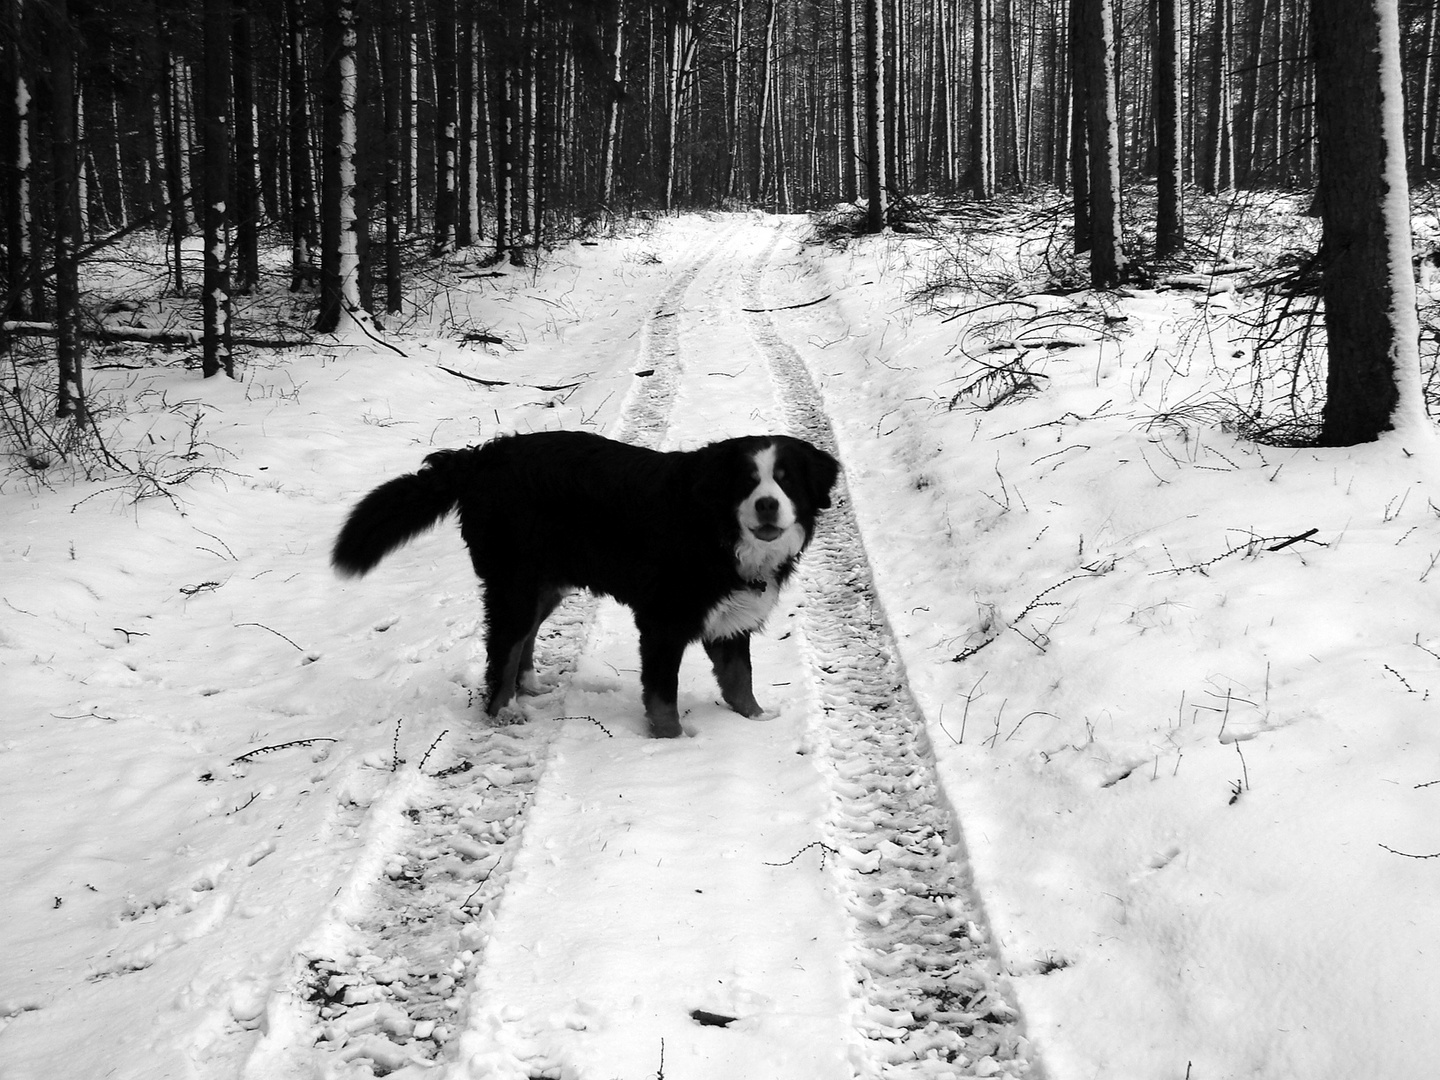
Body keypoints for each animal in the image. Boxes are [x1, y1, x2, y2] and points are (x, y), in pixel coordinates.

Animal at [329, 432, 840, 737]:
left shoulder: (729, 617)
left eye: (787, 482)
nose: (768, 505)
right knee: (503, 649)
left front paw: (758, 721)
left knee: (525, 639)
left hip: (545, 583)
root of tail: (480, 457)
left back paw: (529, 686)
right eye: (747, 483)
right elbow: (663, 697)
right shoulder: (664, 621)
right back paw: (505, 709)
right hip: (514, 583)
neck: (717, 530)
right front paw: (673, 744)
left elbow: (739, 680)